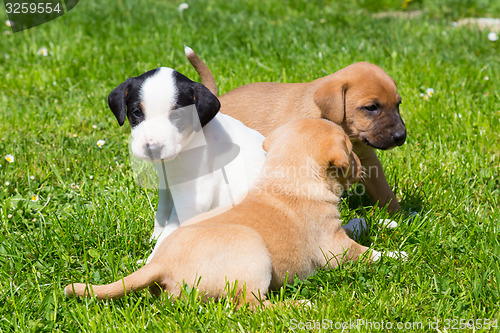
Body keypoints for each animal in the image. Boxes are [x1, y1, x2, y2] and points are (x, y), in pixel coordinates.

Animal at [65, 118, 394, 304]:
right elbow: (369, 254)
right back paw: (298, 306)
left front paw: (375, 222)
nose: (361, 163)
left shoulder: (336, 229)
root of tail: (159, 263)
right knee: (251, 305)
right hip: (253, 253)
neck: (286, 176)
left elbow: (353, 225)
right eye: (350, 150)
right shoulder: (334, 247)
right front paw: (397, 254)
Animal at [108, 67, 268, 260]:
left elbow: (171, 231)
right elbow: (162, 211)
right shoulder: (167, 184)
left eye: (177, 115)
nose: (153, 148)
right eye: (137, 112)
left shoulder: (192, 199)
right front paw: (154, 237)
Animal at [187, 47, 406, 211]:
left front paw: (399, 216)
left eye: (398, 104)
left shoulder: (368, 159)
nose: (401, 136)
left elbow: (384, 191)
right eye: (371, 107)